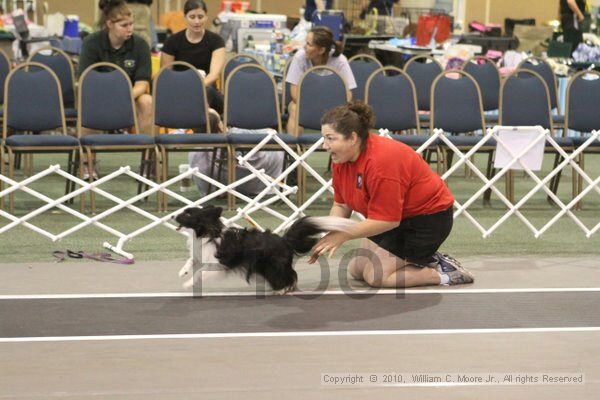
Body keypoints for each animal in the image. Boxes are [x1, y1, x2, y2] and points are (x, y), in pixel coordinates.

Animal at [172, 206, 356, 294]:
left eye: (188, 214)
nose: (173, 215)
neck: (207, 233)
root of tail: (284, 240)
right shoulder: (199, 254)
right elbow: (191, 261)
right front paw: (182, 272)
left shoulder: (218, 263)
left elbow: (200, 273)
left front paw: (188, 284)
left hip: (272, 266)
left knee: (290, 275)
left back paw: (282, 289)